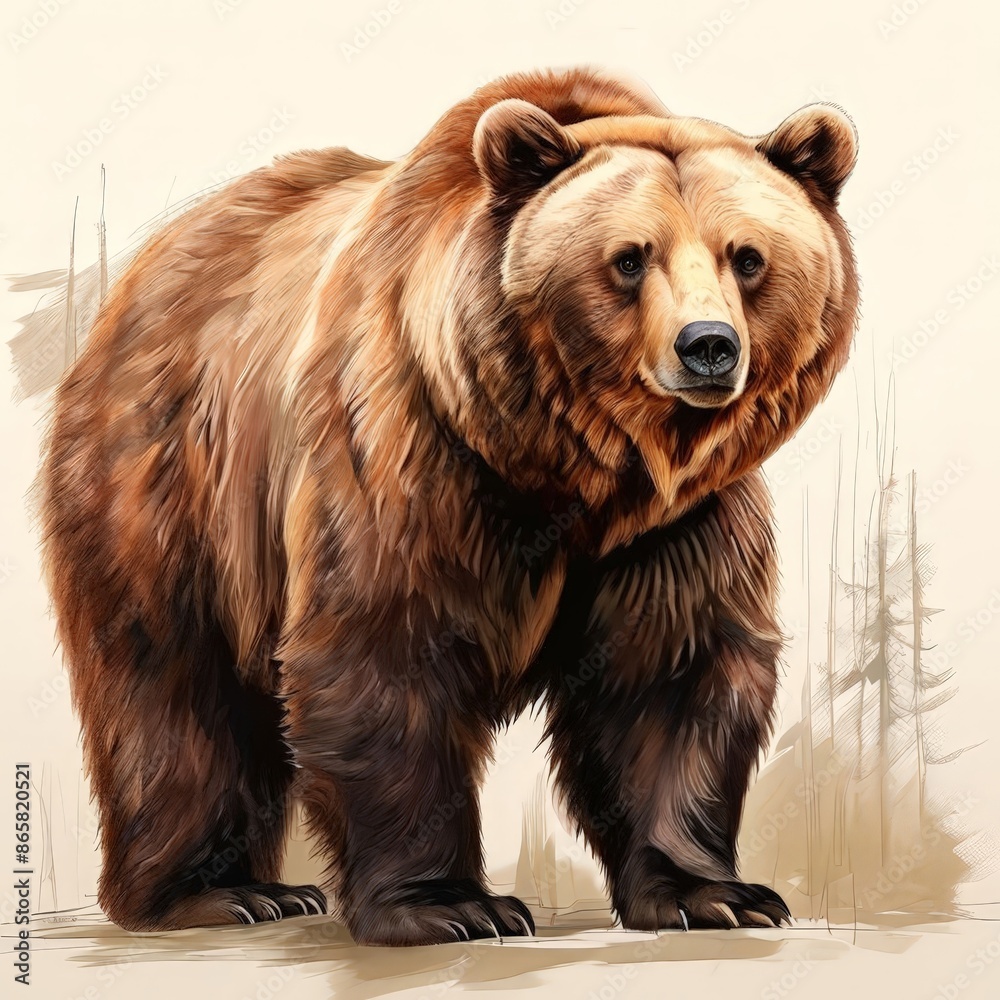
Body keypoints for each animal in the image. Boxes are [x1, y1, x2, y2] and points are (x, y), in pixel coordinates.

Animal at [38, 66, 858, 945]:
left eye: (748, 256)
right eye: (630, 259)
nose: (708, 345)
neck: (572, 464)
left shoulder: (675, 526)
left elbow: (669, 674)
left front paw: (712, 893)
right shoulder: (413, 451)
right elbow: (386, 649)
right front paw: (451, 905)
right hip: (172, 478)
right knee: (176, 686)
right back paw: (222, 894)